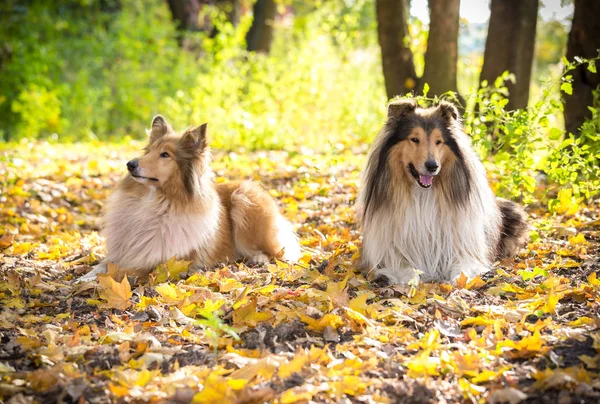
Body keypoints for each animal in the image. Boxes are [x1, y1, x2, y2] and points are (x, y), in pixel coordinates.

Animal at [78, 115, 300, 282]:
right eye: (149, 151)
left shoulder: (164, 263)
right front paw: (83, 278)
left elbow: (123, 272)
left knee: (278, 251)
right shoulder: (123, 253)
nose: (130, 164)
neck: (154, 202)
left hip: (244, 199)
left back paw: (258, 258)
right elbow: (102, 266)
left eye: (165, 155)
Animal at [358, 99, 528, 286]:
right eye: (414, 139)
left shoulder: (463, 248)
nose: (432, 166)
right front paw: (410, 281)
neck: (422, 195)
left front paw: (459, 281)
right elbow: (405, 268)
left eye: (438, 141)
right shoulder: (390, 253)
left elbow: (462, 268)